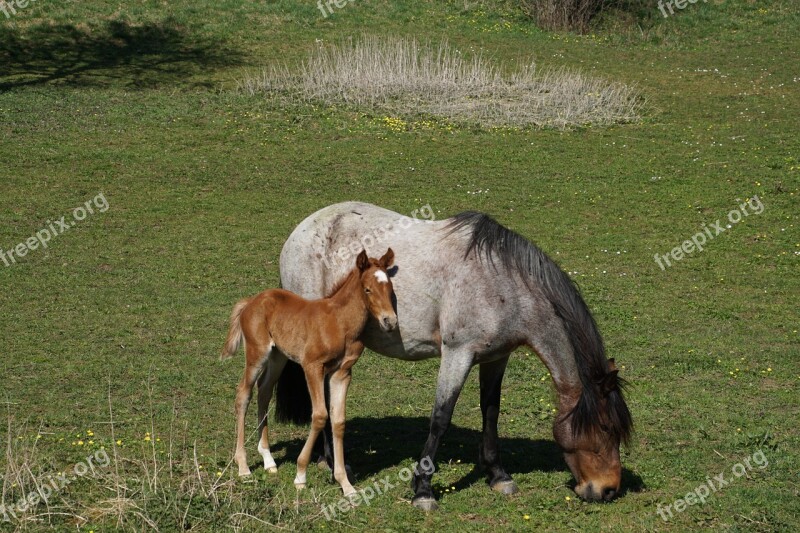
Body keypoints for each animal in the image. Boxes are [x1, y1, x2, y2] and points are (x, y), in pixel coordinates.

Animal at [219, 247, 396, 496]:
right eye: (367, 289)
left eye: (389, 288)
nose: (390, 321)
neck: (340, 323)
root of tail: (251, 301)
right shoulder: (312, 366)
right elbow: (320, 415)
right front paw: (300, 475)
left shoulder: (342, 373)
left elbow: (338, 421)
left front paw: (346, 484)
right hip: (257, 353)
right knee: (243, 393)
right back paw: (243, 467)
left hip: (278, 356)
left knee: (264, 391)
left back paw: (268, 460)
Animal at [278, 202, 636, 510]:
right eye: (606, 428)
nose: (608, 490)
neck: (502, 283)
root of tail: (299, 232)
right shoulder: (457, 354)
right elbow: (441, 418)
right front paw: (423, 490)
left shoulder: (495, 357)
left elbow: (490, 412)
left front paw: (498, 475)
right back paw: (334, 465)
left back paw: (327, 460)